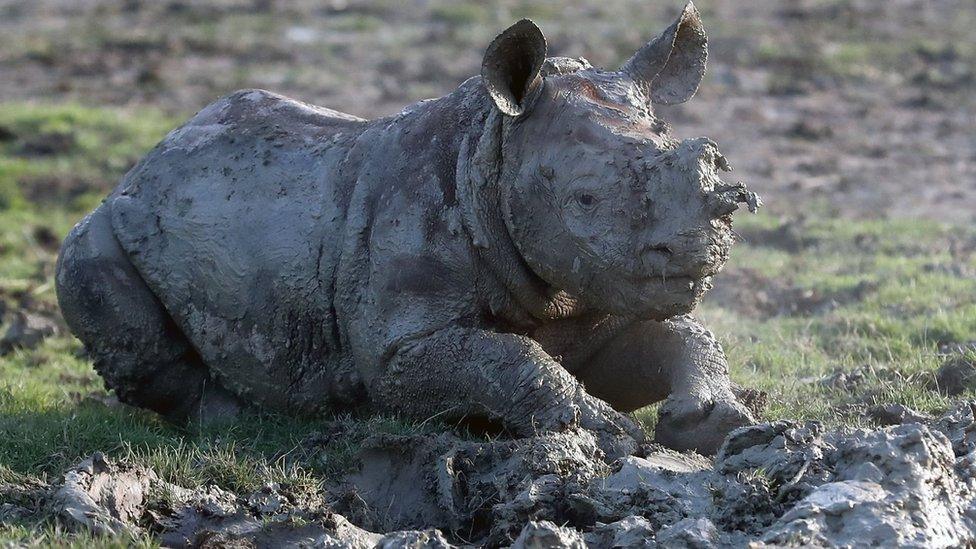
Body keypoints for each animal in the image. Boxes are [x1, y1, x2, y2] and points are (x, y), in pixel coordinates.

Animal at [57, 4, 764, 454]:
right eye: (584, 198)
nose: (699, 254)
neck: (488, 151)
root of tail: (149, 158)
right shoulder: (399, 347)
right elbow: (503, 357)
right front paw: (603, 432)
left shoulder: (589, 294)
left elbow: (678, 334)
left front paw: (716, 422)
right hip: (109, 225)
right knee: (94, 276)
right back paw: (235, 420)